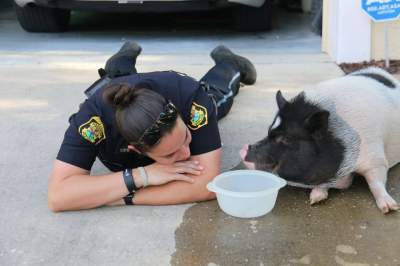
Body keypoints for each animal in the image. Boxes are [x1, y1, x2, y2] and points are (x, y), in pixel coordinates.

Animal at [241, 67, 400, 213]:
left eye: (286, 138)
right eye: (269, 131)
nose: (243, 148)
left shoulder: (376, 159)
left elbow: (376, 182)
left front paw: (390, 208)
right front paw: (315, 199)